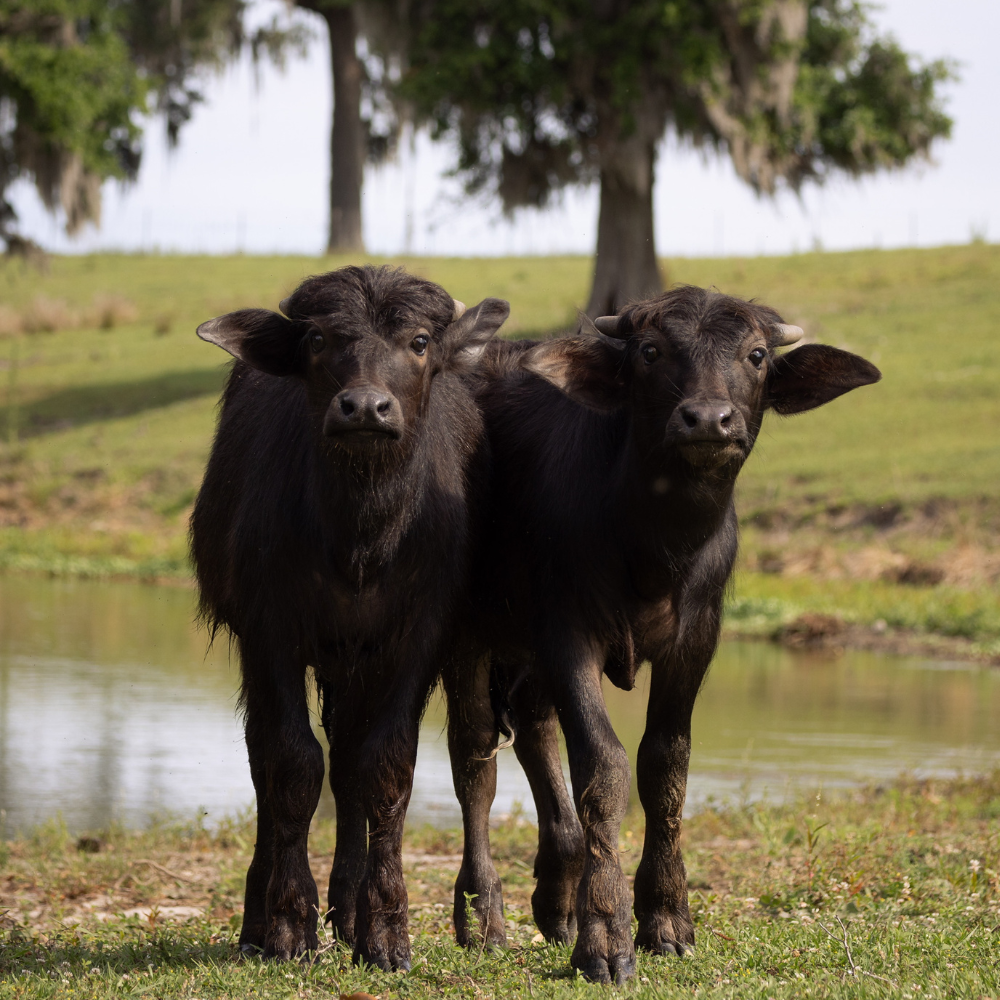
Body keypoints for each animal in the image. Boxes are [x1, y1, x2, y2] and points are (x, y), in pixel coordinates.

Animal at [190, 264, 508, 968]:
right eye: (316, 339)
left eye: (419, 342)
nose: (364, 407)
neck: (360, 536)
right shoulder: (270, 632)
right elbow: (291, 763)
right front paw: (288, 922)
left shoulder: (417, 639)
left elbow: (386, 767)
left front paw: (386, 929)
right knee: (279, 760)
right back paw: (277, 914)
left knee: (463, 760)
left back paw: (473, 919)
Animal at [450, 284, 880, 984]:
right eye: (650, 351)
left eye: (756, 354)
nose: (708, 420)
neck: (655, 542)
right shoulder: (569, 632)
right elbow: (602, 763)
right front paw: (604, 936)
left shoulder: (695, 641)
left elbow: (665, 764)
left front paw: (668, 921)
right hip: (467, 630)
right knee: (475, 760)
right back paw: (484, 917)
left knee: (534, 731)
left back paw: (555, 900)